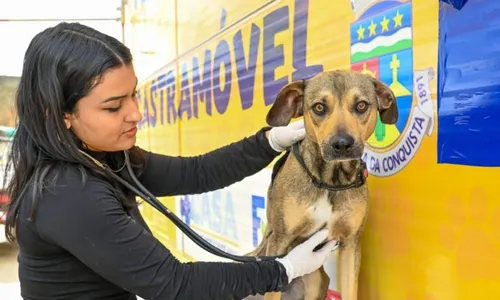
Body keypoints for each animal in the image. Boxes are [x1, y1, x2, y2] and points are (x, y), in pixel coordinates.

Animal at [248, 70, 396, 300]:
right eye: (319, 107)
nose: (342, 144)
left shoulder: (350, 244)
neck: (330, 181)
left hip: (316, 280)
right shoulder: (280, 239)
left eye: (361, 105)